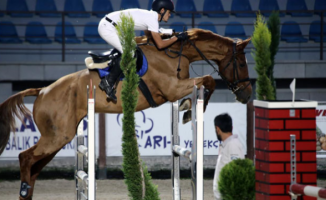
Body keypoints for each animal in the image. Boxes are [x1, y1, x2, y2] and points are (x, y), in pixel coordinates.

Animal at [0, 28, 252, 200]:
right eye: (241, 63)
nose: (247, 94)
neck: (173, 53)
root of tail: (42, 90)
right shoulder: (171, 89)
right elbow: (208, 80)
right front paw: (189, 110)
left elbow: (204, 84)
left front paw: (188, 107)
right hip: (56, 137)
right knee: (25, 158)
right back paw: (24, 190)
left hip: (58, 138)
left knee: (34, 166)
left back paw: (27, 193)